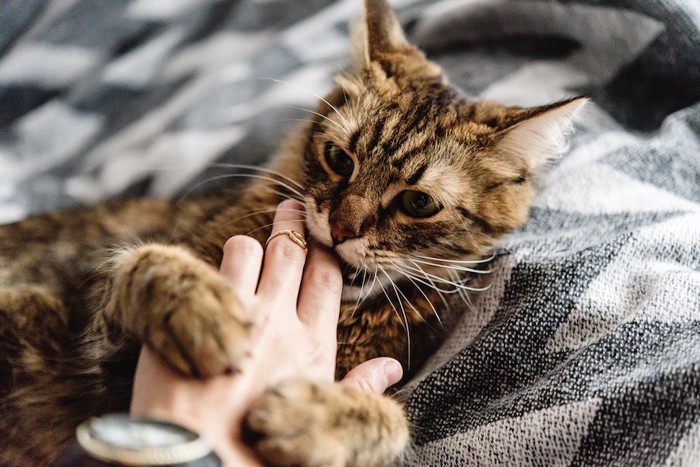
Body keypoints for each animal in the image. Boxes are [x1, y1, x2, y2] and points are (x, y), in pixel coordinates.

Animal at [0, 0, 584, 467]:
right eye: (339, 159)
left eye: (418, 203)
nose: (343, 226)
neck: (348, 318)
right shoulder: (100, 338)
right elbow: (145, 260)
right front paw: (202, 311)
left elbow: (392, 420)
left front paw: (310, 419)